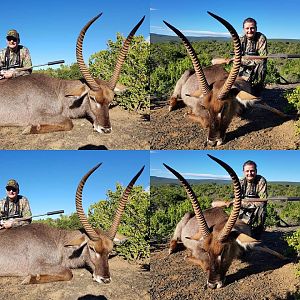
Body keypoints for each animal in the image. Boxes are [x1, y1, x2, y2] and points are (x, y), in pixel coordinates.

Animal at [0, 164, 144, 284]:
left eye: (110, 250)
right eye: (92, 248)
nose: (105, 279)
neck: (57, 241)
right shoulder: (35, 265)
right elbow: (68, 273)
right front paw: (30, 279)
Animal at [165, 12, 288, 146]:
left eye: (223, 107)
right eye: (206, 107)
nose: (212, 142)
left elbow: (268, 106)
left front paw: (287, 115)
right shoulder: (199, 109)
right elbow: (203, 120)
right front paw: (188, 114)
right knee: (174, 96)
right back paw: (172, 106)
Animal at [165, 155, 284, 288]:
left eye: (223, 250)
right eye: (207, 251)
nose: (212, 284)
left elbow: (270, 250)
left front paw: (285, 257)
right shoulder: (198, 251)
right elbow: (198, 261)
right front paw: (188, 257)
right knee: (174, 239)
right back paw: (171, 249)